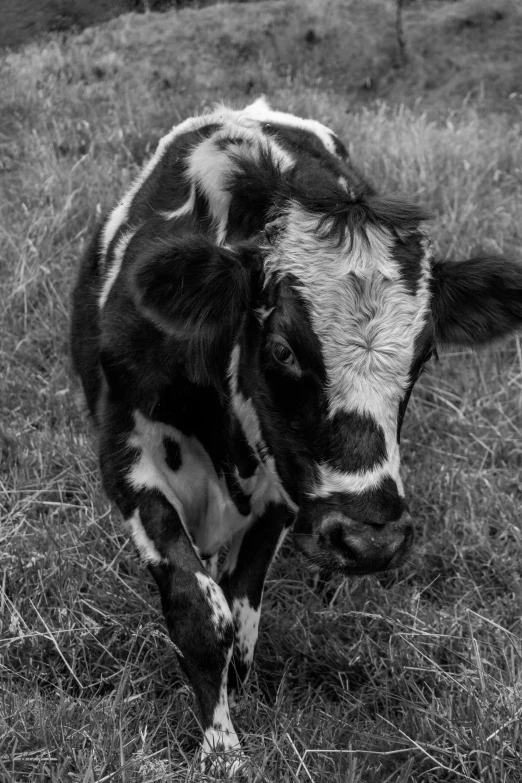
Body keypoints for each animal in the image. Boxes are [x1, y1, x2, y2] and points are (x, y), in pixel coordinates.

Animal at [70, 95, 520, 776]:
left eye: (425, 355)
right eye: (282, 348)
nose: (369, 539)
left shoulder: (285, 490)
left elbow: (241, 617)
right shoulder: (126, 458)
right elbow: (201, 610)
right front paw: (221, 749)